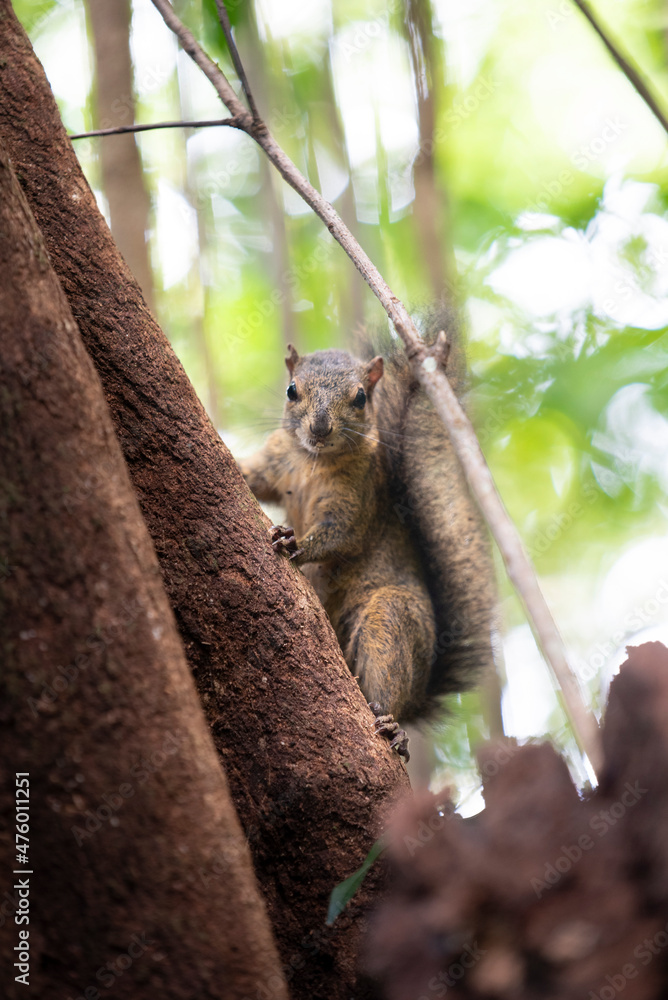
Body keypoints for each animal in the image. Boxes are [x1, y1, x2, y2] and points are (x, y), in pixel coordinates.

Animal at [239, 311, 496, 760]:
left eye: (360, 398)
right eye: (291, 390)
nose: (320, 427)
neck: (311, 460)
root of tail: (418, 697)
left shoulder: (359, 495)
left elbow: (343, 534)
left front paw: (296, 543)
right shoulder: (274, 461)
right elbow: (250, 476)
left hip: (390, 621)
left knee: (385, 683)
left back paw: (393, 726)